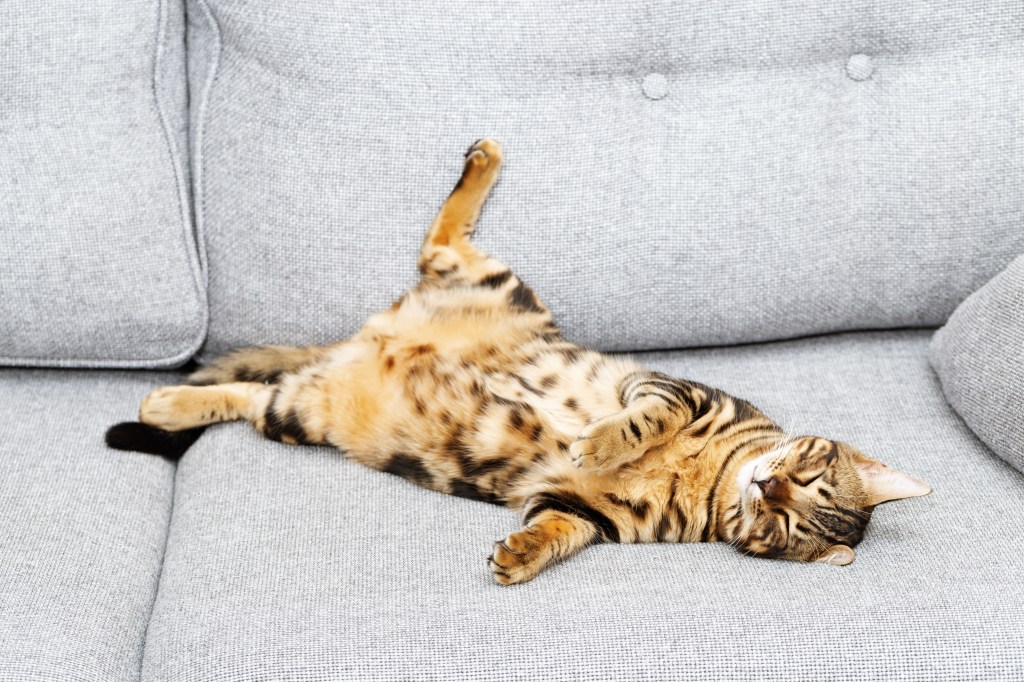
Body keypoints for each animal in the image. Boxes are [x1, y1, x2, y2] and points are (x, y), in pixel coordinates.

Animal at [108, 139, 933, 585]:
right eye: (805, 474)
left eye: (787, 523)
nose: (766, 486)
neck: (713, 482)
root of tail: (366, 338)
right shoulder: (678, 389)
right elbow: (644, 419)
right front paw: (602, 439)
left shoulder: (585, 511)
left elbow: (559, 531)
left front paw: (521, 555)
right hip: (494, 282)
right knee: (442, 236)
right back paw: (484, 161)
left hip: (304, 412)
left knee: (254, 395)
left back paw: (166, 403)